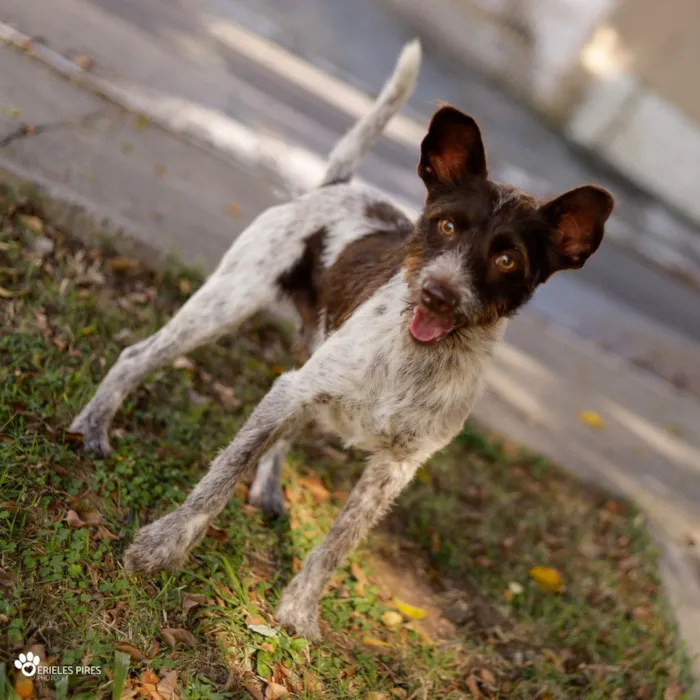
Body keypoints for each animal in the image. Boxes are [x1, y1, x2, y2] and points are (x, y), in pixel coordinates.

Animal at [69, 39, 612, 640]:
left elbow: (337, 543)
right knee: (137, 355)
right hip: (229, 302)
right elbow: (218, 478)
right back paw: (94, 426)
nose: (438, 294)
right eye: (446, 226)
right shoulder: (291, 390)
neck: (416, 355)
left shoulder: (394, 468)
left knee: (281, 435)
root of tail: (340, 184)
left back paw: (267, 488)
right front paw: (161, 549)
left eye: (507, 260)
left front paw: (298, 611)